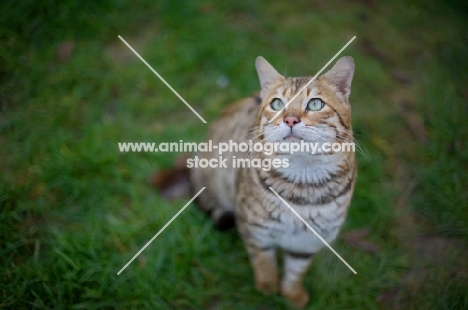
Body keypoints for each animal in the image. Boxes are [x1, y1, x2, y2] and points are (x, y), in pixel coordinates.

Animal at [189, 55, 354, 308]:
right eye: (277, 104)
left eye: (315, 104)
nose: (290, 119)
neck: (303, 183)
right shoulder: (256, 230)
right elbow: (263, 262)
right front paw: (266, 288)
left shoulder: (309, 240)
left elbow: (297, 270)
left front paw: (291, 294)